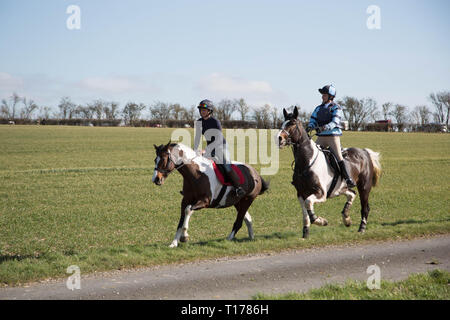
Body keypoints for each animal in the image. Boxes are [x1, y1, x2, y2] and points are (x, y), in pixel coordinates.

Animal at [276, 107, 382, 238]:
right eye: (283, 123)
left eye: (292, 123)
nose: (279, 138)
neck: (306, 162)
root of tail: (364, 152)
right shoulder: (300, 193)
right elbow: (305, 213)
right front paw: (305, 234)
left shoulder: (321, 194)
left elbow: (309, 203)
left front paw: (321, 221)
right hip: (340, 188)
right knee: (352, 194)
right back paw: (346, 218)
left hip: (364, 187)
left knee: (365, 207)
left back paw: (361, 228)